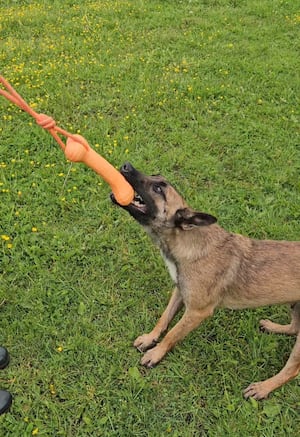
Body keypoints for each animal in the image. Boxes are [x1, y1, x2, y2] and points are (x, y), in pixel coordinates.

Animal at [110, 163, 300, 398]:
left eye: (159, 189)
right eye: (156, 177)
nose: (125, 166)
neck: (186, 241)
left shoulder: (197, 312)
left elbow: (172, 333)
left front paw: (156, 353)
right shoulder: (180, 291)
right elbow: (164, 319)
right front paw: (149, 338)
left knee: (293, 369)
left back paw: (264, 387)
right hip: (296, 306)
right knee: (294, 328)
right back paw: (274, 327)